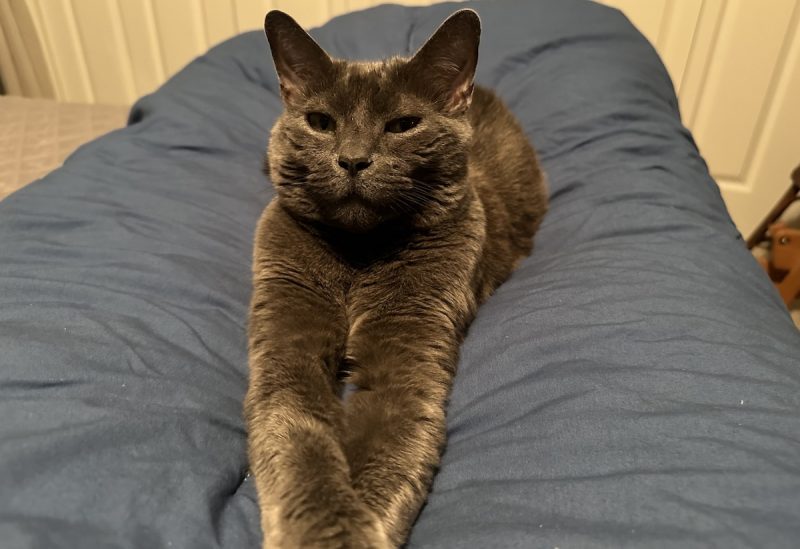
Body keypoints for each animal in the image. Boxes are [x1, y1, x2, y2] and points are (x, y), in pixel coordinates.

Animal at [245, 9, 544, 548]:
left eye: (403, 125)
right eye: (321, 122)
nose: (353, 159)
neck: (358, 254)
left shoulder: (414, 335)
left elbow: (395, 433)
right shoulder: (284, 325)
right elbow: (292, 425)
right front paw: (328, 531)